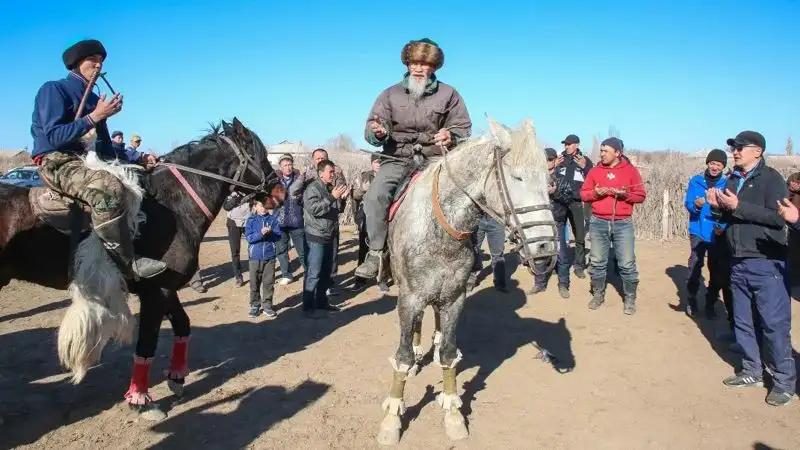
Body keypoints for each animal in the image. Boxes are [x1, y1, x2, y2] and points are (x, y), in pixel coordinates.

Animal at [0, 118, 276, 420]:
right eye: (260, 154)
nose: (280, 191)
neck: (173, 208)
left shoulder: (166, 288)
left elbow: (183, 325)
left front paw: (176, 378)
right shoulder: (155, 293)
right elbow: (146, 343)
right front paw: (140, 400)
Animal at [376, 116, 556, 442]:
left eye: (547, 180)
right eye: (517, 177)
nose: (545, 250)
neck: (440, 227)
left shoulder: (454, 298)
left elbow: (449, 354)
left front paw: (453, 413)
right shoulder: (409, 298)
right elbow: (403, 356)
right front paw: (392, 419)